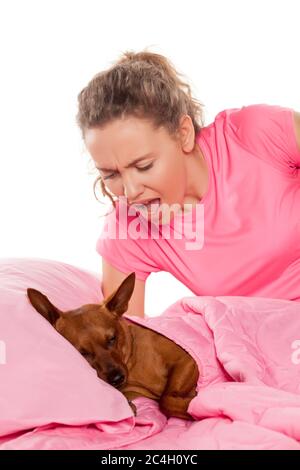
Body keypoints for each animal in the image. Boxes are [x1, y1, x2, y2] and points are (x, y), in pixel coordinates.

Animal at [27, 272, 198, 418]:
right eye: (83, 353)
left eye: (112, 338)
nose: (116, 378)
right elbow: (162, 399)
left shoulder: (187, 360)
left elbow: (165, 401)